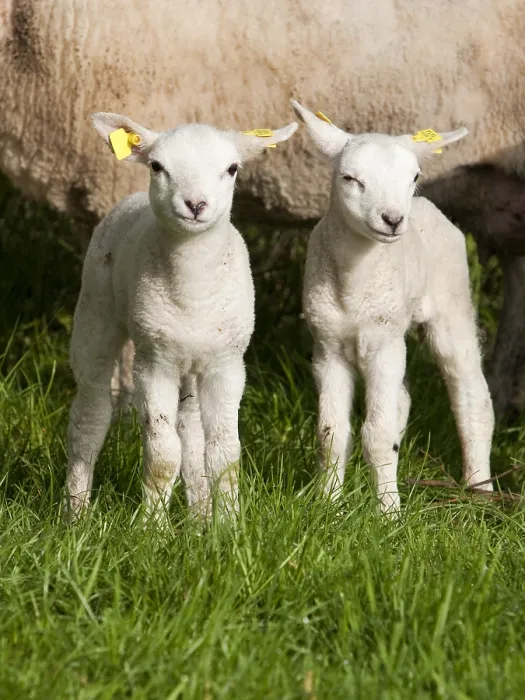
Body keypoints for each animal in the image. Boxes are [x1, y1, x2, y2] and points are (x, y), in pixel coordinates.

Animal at [65, 113, 298, 521]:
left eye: (232, 168)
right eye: (158, 166)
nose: (195, 204)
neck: (193, 292)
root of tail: (132, 199)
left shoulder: (226, 365)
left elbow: (223, 454)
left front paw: (229, 526)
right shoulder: (154, 364)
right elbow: (161, 454)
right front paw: (151, 528)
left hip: (191, 362)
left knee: (190, 433)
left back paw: (200, 517)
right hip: (96, 312)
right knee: (89, 416)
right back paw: (75, 514)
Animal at [291, 100, 494, 513]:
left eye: (414, 175)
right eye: (349, 177)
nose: (393, 219)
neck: (355, 285)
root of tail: (425, 205)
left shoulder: (383, 344)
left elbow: (377, 436)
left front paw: (389, 513)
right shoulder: (327, 348)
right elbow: (331, 434)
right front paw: (328, 506)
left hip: (451, 304)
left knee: (472, 396)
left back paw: (480, 489)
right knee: (401, 399)